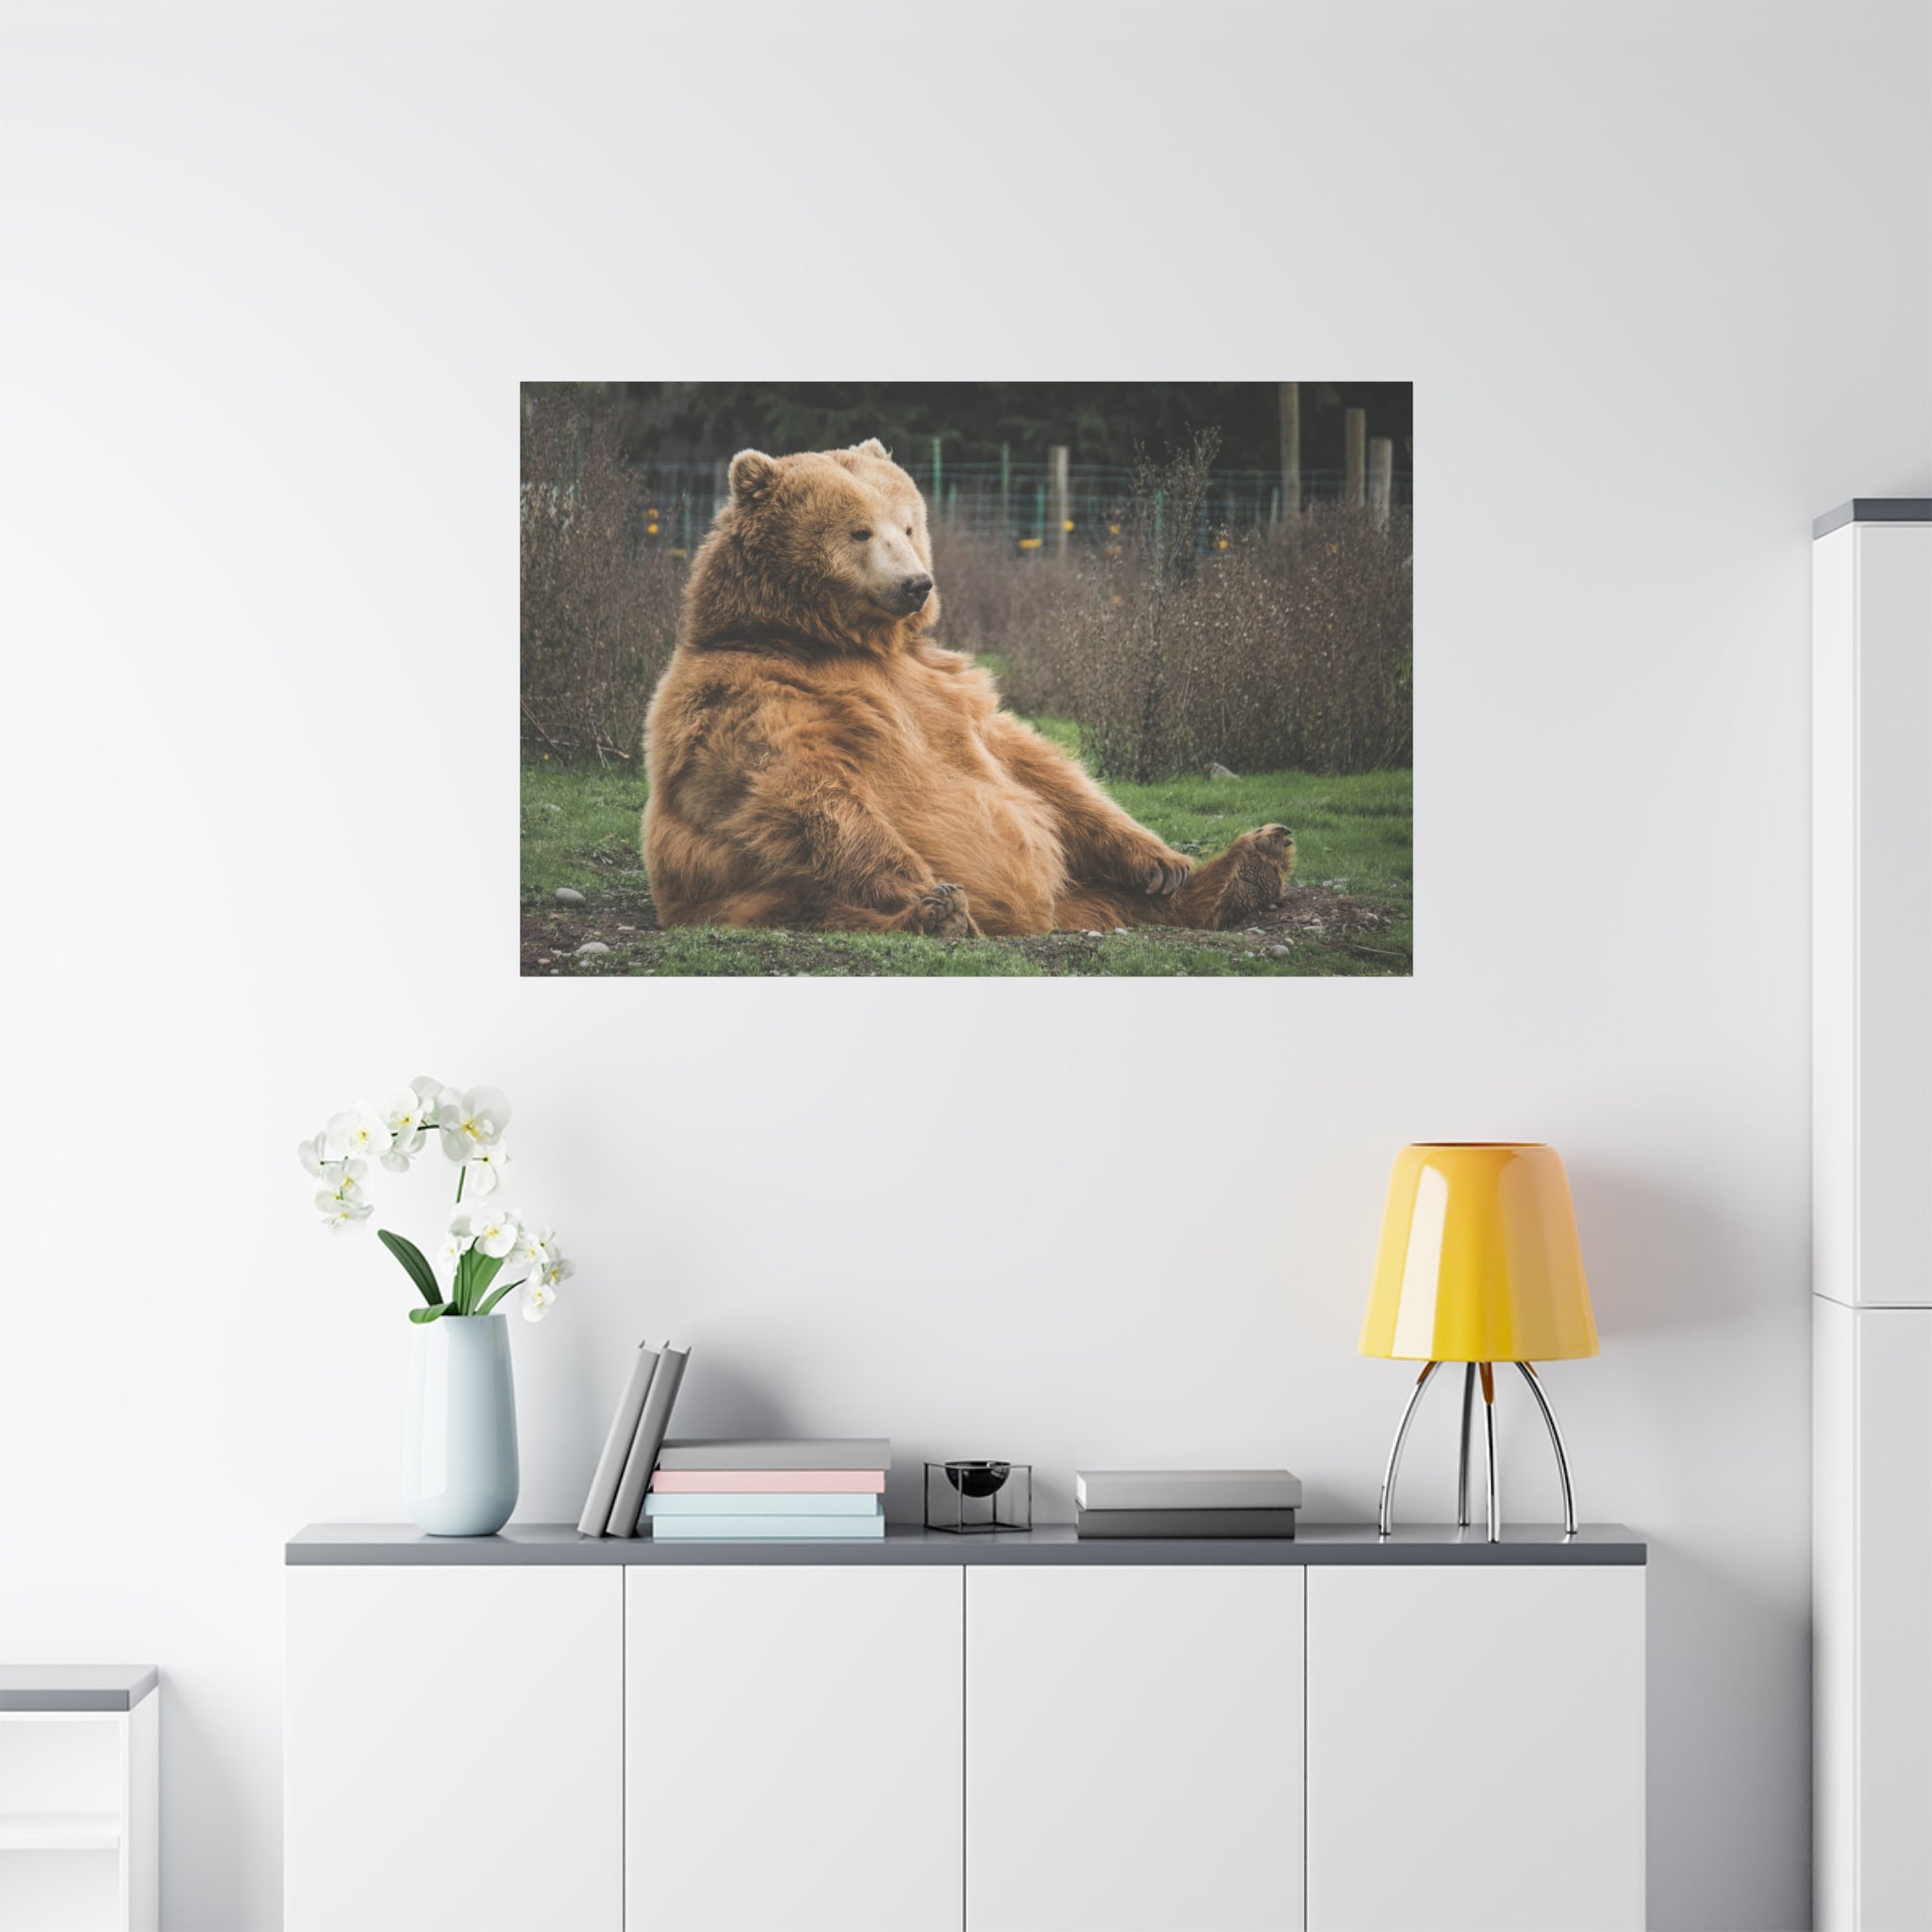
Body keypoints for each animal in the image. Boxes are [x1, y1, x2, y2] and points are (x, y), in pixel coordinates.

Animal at [642, 439, 1295, 937]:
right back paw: (939, 914)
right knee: (821, 904)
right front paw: (924, 887)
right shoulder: (750, 694)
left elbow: (1035, 765)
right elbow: (801, 786)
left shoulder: (943, 687)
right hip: (746, 892)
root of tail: (1037, 919)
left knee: (1116, 897)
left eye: (908, 524)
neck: (835, 641)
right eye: (859, 532)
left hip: (1078, 889)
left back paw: (1248, 866)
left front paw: (1162, 861)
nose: (916, 584)